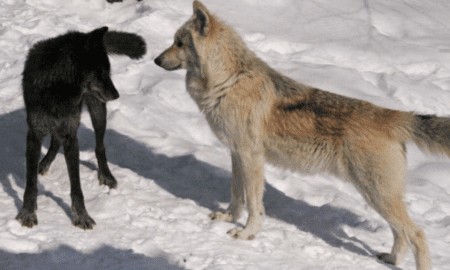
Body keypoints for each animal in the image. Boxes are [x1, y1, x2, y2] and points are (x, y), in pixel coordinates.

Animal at [15, 26, 145, 230]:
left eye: (109, 72)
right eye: (101, 73)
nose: (117, 95)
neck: (58, 89)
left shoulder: (71, 136)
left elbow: (76, 186)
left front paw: (82, 216)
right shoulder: (34, 135)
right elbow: (30, 184)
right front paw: (28, 213)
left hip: (97, 112)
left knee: (100, 146)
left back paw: (106, 175)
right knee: (55, 141)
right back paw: (44, 163)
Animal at [155, 1, 440, 268]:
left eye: (179, 43)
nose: (155, 60)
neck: (227, 81)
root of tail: (391, 114)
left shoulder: (251, 157)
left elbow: (254, 204)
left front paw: (247, 234)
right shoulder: (236, 154)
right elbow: (237, 195)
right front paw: (228, 218)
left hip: (377, 194)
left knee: (417, 234)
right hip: (377, 196)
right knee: (401, 234)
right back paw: (391, 260)